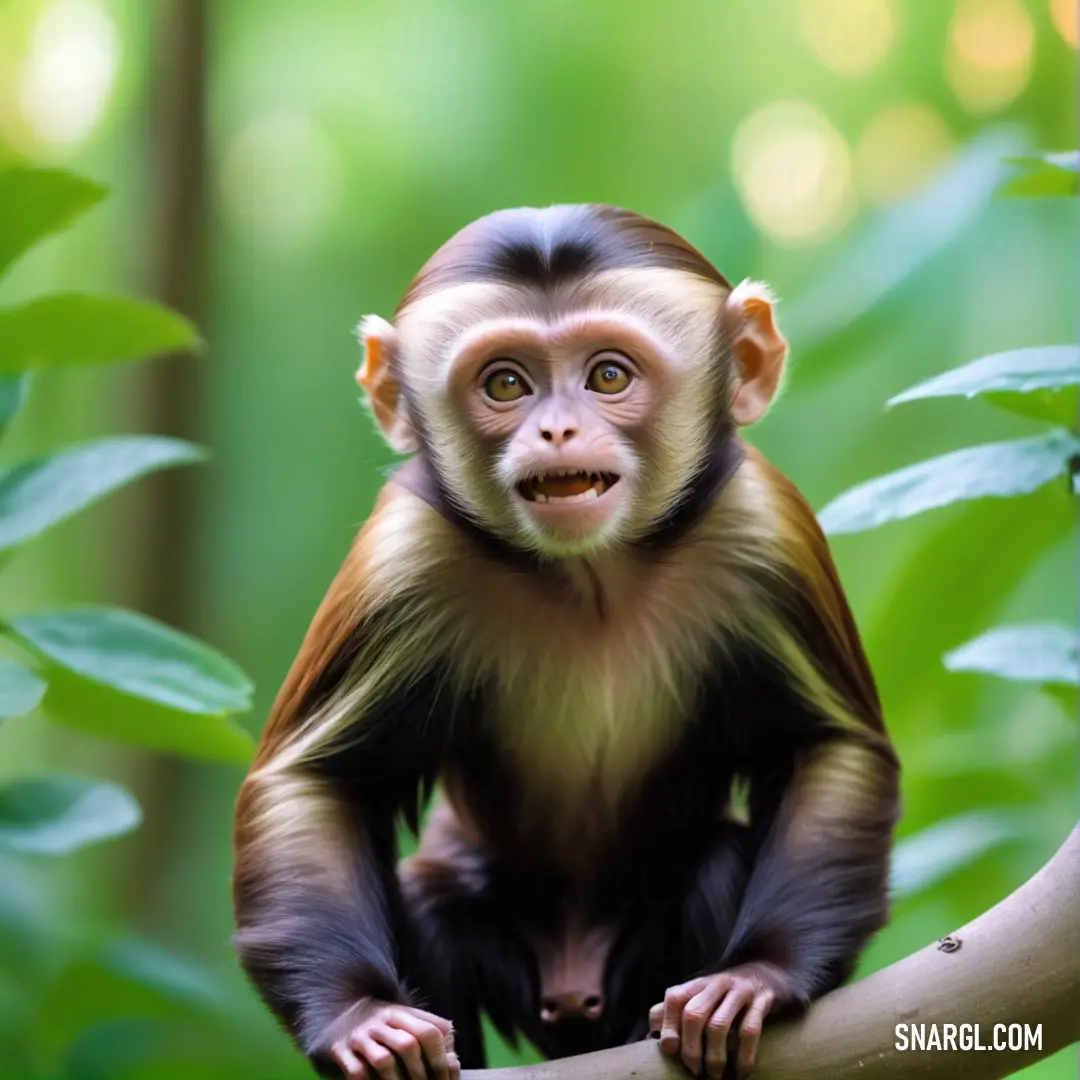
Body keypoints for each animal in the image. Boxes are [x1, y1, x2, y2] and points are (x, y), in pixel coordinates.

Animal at [234, 204, 902, 1080]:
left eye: (608, 377)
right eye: (506, 383)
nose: (556, 429)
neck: (591, 577)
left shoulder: (763, 524)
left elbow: (831, 746)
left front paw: (758, 975)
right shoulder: (401, 555)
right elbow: (312, 779)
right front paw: (360, 1016)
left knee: (714, 865)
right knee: (431, 894)